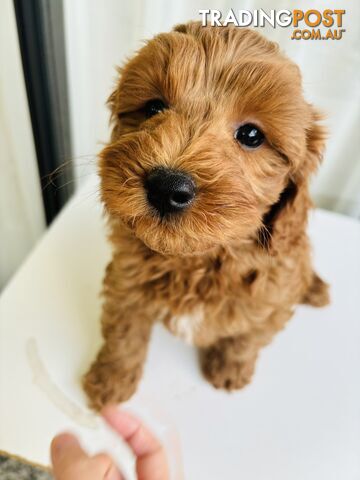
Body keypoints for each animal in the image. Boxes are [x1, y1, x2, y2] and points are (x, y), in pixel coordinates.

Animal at [83, 22, 330, 410]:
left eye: (251, 134)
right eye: (154, 107)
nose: (166, 186)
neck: (197, 261)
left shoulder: (272, 297)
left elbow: (246, 337)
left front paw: (229, 369)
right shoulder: (125, 280)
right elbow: (124, 333)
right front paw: (110, 381)